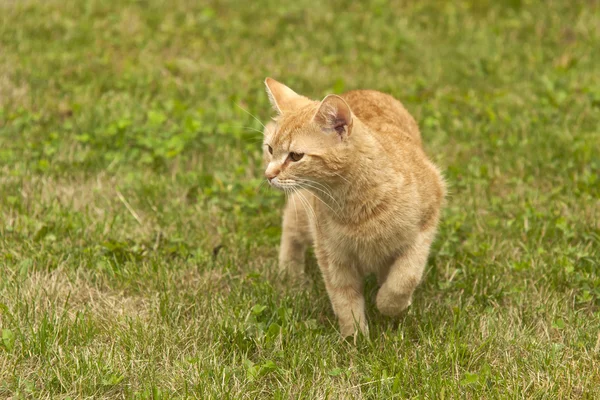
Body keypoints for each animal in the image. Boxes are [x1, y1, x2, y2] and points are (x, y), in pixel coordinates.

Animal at [262, 77, 446, 338]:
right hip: (303, 215)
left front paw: (389, 304)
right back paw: (290, 274)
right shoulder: (332, 256)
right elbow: (345, 300)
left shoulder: (426, 225)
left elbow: (404, 278)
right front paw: (356, 339)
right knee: (290, 229)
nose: (269, 175)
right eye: (270, 149)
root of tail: (363, 89)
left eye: (296, 156)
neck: (356, 207)